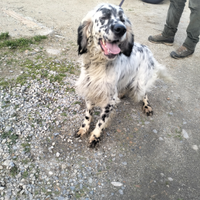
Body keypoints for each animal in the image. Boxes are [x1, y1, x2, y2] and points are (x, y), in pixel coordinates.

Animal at [75, 2, 170, 147]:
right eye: (104, 17)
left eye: (122, 19)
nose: (121, 29)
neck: (99, 64)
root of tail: (147, 50)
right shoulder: (89, 89)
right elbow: (88, 114)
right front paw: (84, 128)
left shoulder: (109, 99)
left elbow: (101, 121)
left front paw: (95, 136)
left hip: (139, 84)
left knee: (144, 93)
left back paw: (147, 106)